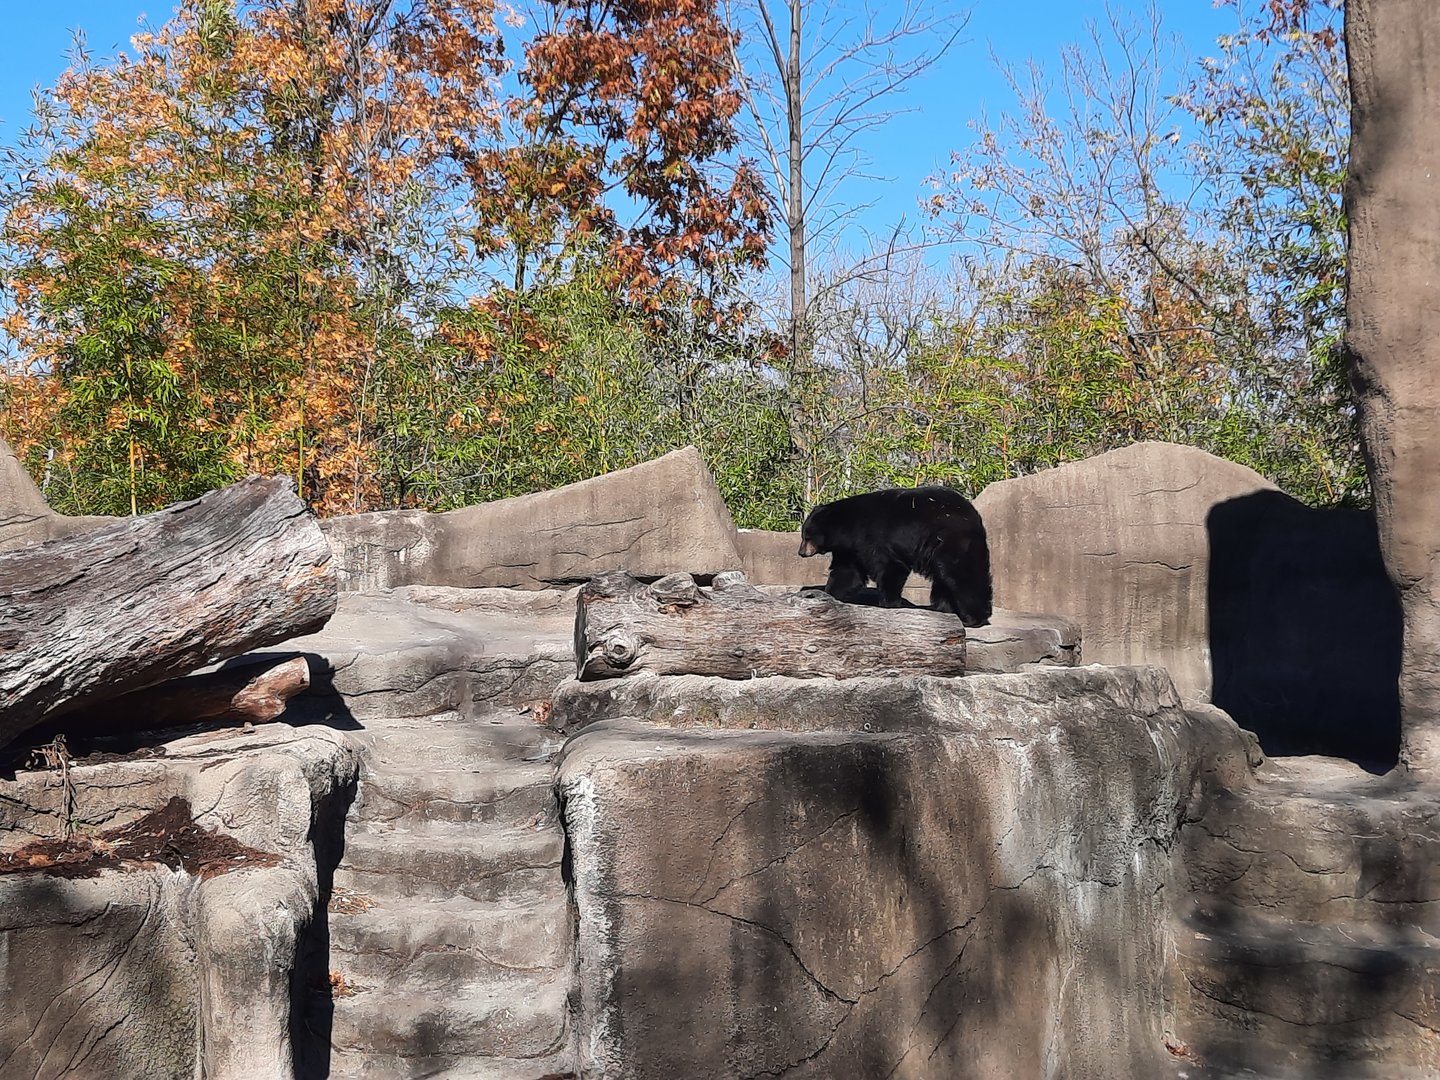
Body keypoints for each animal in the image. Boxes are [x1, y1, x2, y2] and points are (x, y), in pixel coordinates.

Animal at [797, 485, 993, 627]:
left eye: (807, 536)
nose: (801, 552)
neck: (849, 528)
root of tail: (974, 516)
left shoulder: (876, 537)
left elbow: (890, 566)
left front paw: (888, 603)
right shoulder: (851, 549)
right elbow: (847, 573)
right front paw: (829, 594)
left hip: (951, 541)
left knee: (961, 574)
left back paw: (974, 618)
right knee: (943, 578)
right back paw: (942, 608)